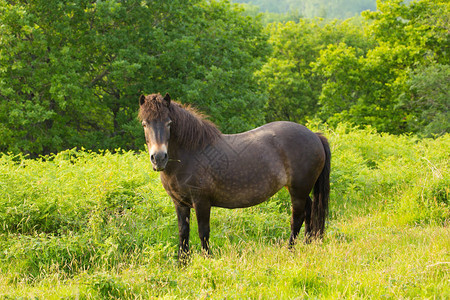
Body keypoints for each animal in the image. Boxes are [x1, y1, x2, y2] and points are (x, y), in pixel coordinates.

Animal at [138, 94, 330, 260]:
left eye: (169, 123)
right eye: (145, 124)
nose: (159, 158)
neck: (190, 154)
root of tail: (315, 136)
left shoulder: (201, 202)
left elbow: (203, 232)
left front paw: (207, 259)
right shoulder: (180, 203)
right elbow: (183, 233)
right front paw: (183, 263)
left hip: (299, 190)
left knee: (297, 219)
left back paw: (290, 251)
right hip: (300, 190)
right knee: (309, 212)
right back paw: (307, 245)